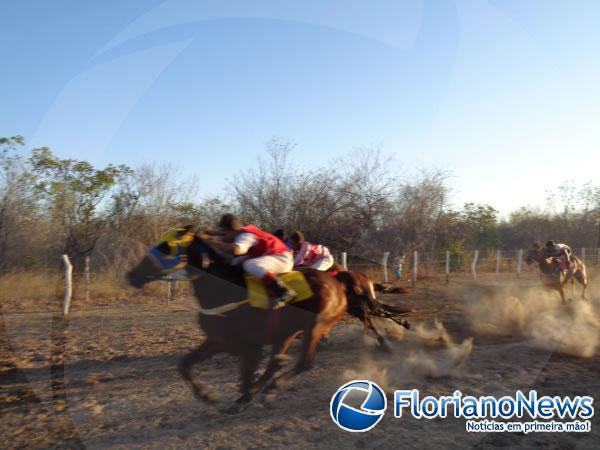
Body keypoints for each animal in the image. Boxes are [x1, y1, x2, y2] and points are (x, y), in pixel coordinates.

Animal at [125, 237, 346, 410]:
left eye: (166, 248)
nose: (131, 275)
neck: (223, 291)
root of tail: (337, 284)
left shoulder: (250, 346)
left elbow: (247, 375)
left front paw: (242, 398)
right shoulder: (218, 341)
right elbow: (185, 364)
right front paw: (207, 395)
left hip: (315, 326)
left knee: (304, 362)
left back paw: (269, 389)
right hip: (287, 333)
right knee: (275, 365)